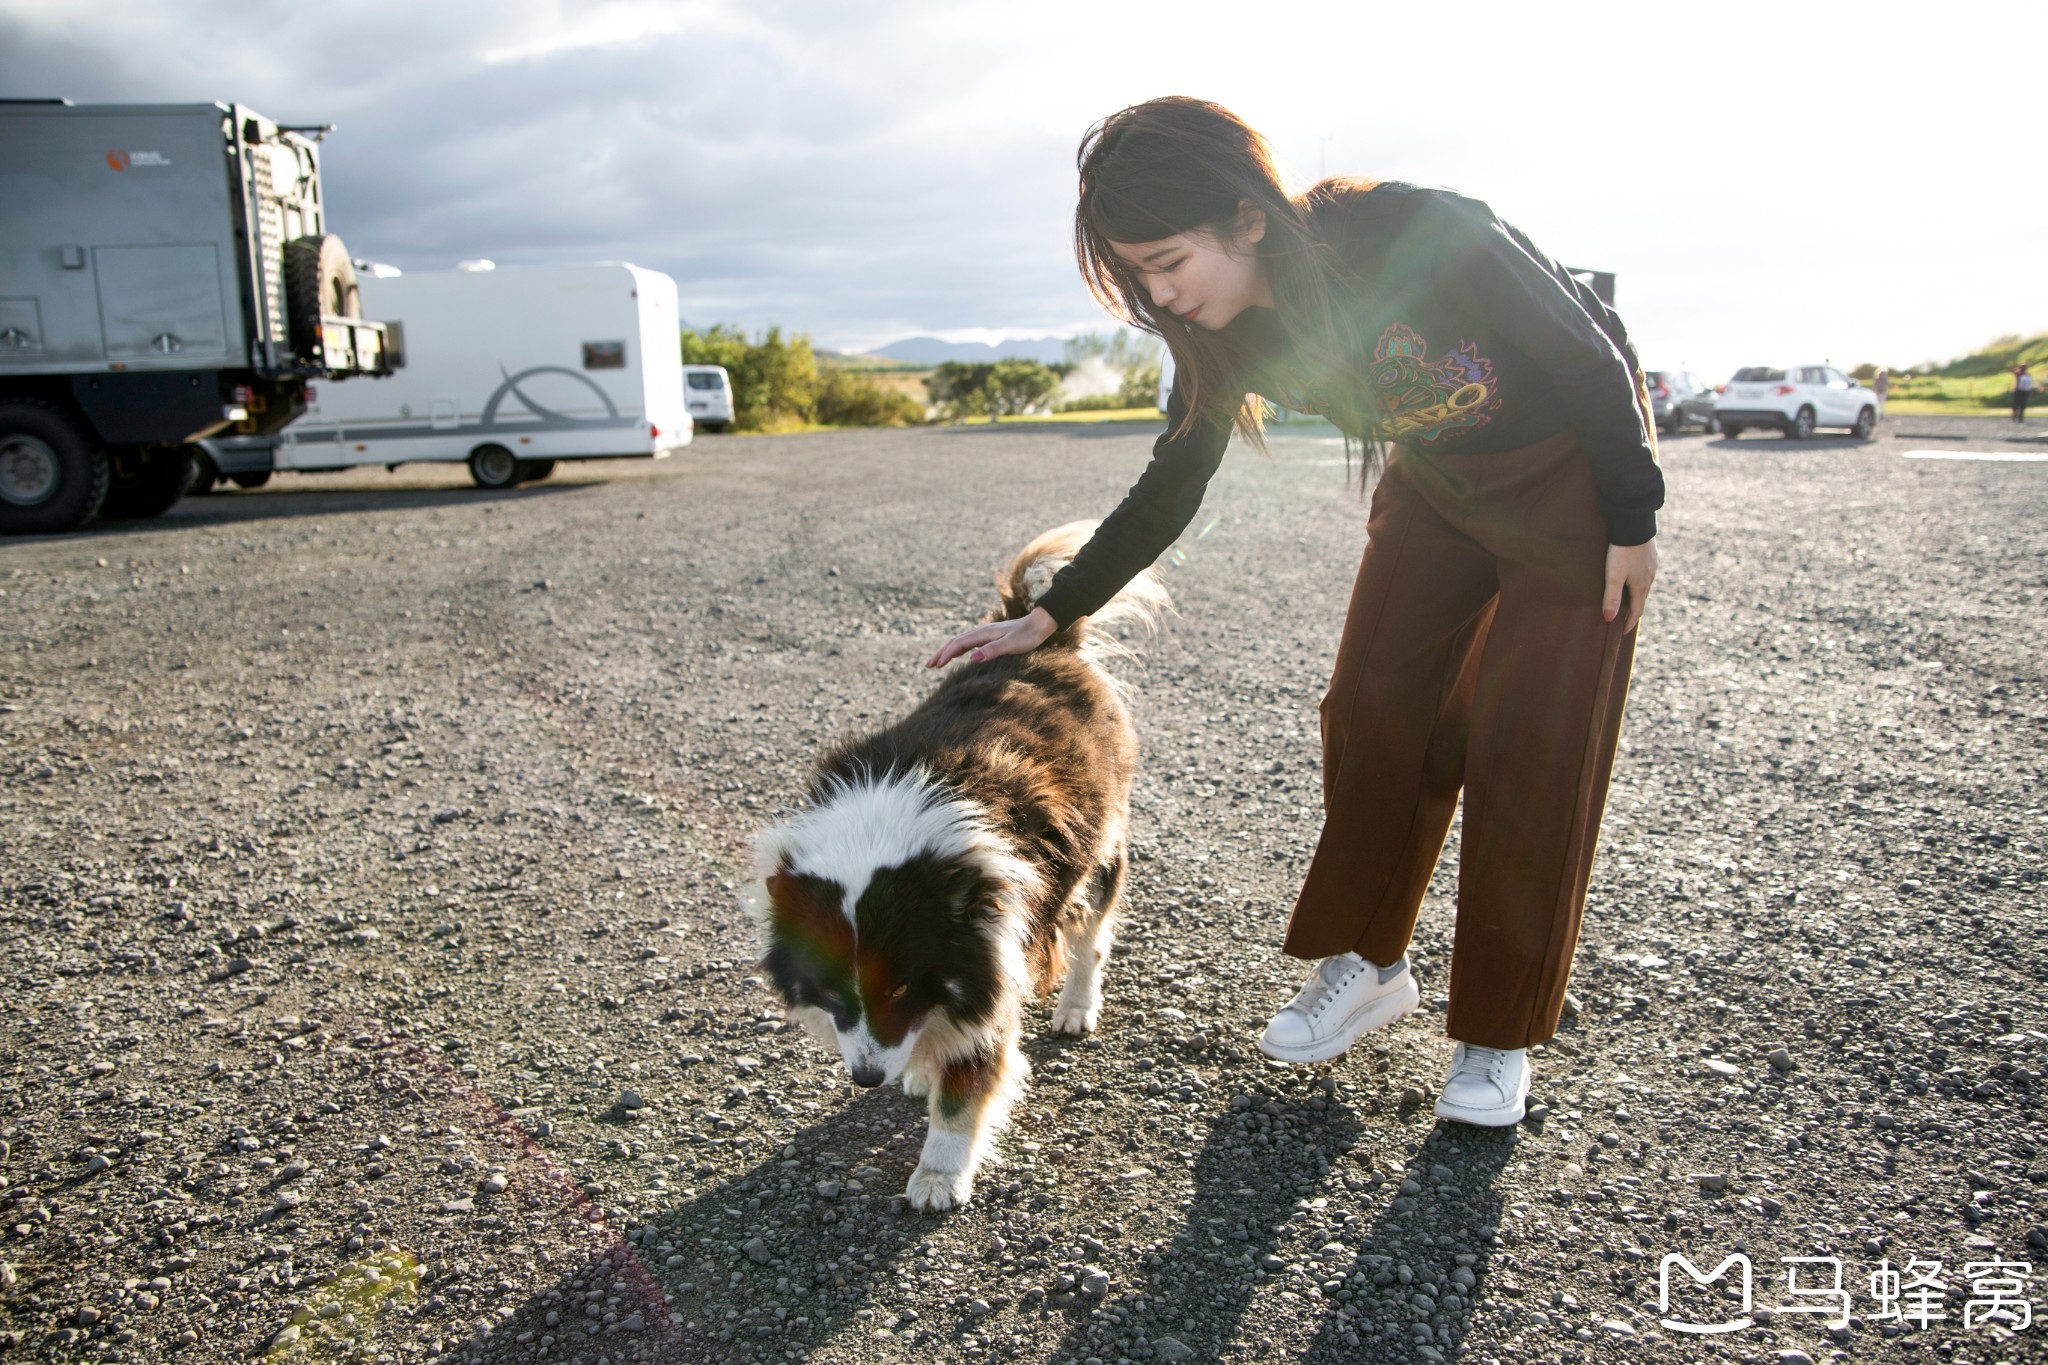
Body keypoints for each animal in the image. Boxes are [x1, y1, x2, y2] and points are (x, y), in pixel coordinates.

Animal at [749, 519, 1171, 1203]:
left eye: (899, 986)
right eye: (830, 990)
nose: (866, 1080)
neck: (882, 837)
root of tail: (1041, 635)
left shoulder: (992, 952)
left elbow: (968, 1081)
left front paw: (938, 1176)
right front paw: (920, 1073)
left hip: (1100, 846)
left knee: (1091, 936)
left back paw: (1076, 1007)